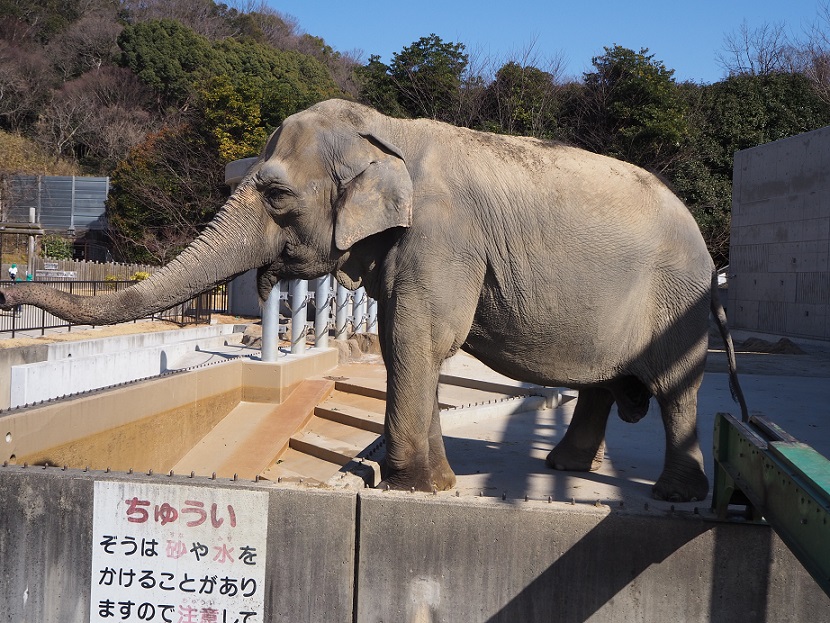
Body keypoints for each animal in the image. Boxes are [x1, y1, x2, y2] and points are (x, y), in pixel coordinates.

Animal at [0, 100, 752, 504]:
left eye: (276, 194)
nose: (11, 286)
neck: (391, 133)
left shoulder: (444, 237)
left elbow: (420, 336)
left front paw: (419, 486)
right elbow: (400, 336)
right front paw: (411, 476)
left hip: (675, 300)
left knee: (675, 385)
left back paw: (673, 493)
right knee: (600, 384)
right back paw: (564, 467)